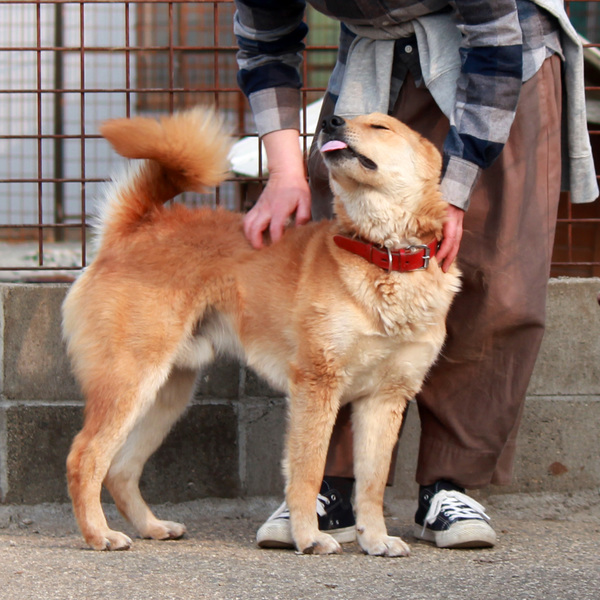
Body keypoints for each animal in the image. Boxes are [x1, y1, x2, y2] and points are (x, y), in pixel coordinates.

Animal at [62, 107, 460, 555]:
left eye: (381, 126)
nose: (332, 121)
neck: (384, 256)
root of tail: (136, 226)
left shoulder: (385, 398)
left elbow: (372, 485)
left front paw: (375, 539)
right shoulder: (317, 384)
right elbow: (307, 472)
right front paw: (307, 536)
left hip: (166, 393)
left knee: (121, 469)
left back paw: (151, 526)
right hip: (131, 381)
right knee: (85, 458)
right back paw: (98, 534)